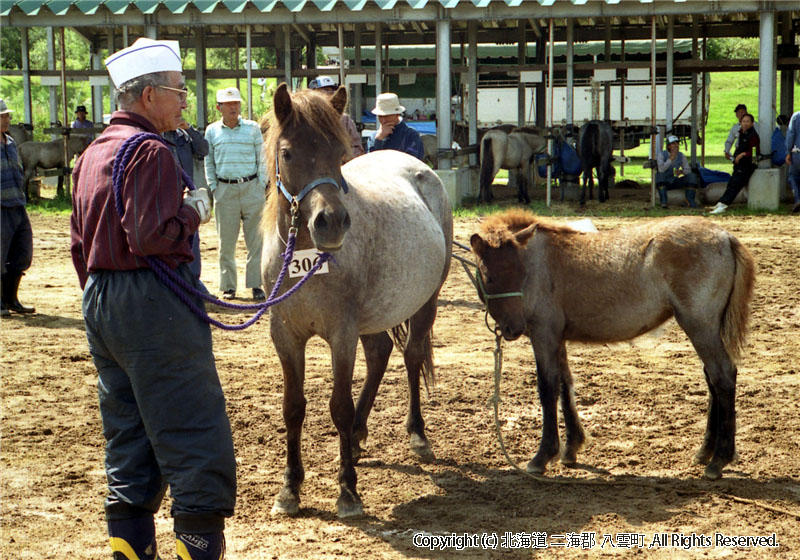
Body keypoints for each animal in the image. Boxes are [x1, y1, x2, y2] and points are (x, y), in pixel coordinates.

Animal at [262, 85, 450, 520]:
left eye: (338, 152)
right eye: (287, 153)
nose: (331, 222)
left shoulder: (341, 334)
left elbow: (339, 407)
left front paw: (348, 491)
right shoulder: (285, 336)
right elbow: (293, 407)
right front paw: (289, 489)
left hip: (425, 303)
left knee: (412, 355)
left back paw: (417, 435)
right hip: (375, 315)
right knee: (380, 353)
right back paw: (359, 437)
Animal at [468, 210, 756, 482]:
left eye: (520, 273)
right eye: (490, 277)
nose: (512, 329)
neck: (541, 262)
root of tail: (725, 236)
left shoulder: (543, 336)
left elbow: (548, 390)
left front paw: (542, 456)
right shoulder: (557, 339)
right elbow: (564, 385)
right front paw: (571, 449)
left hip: (700, 326)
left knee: (722, 376)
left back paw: (719, 460)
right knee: (712, 380)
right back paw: (705, 451)